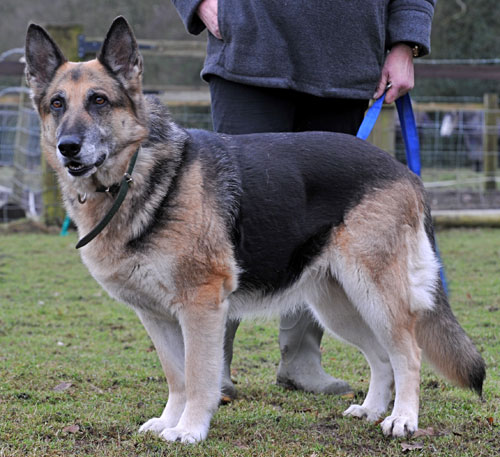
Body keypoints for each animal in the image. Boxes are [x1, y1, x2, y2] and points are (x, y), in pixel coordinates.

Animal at [25, 17, 486, 442]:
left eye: (99, 101)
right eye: (57, 104)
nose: (68, 148)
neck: (139, 174)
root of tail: (403, 170)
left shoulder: (201, 305)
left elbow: (198, 375)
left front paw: (189, 429)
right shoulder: (156, 316)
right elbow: (176, 375)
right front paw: (169, 422)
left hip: (375, 295)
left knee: (408, 354)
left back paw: (402, 419)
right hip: (340, 304)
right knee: (381, 356)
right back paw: (372, 409)